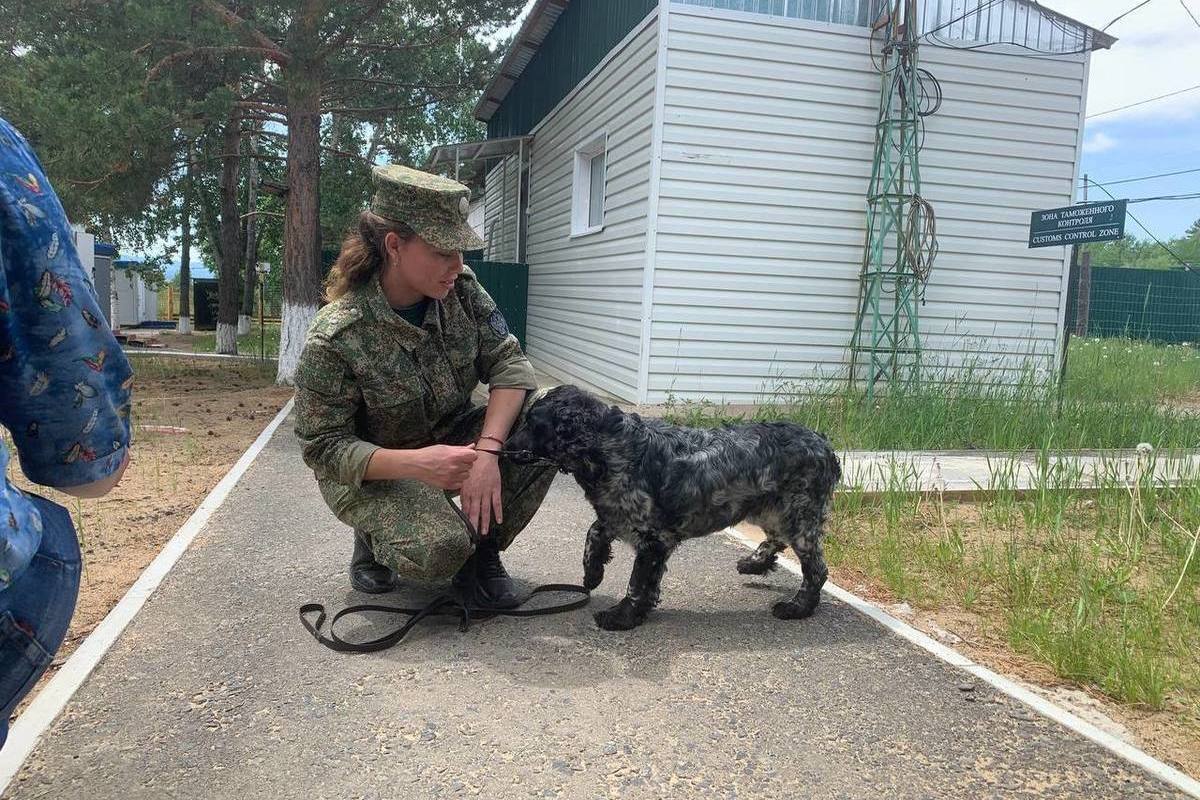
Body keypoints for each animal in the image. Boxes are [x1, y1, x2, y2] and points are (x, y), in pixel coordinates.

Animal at [506, 388, 844, 633]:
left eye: (534, 424)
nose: (505, 446)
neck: (615, 447)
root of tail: (824, 443)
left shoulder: (654, 539)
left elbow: (637, 583)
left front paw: (622, 617)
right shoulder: (619, 517)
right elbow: (595, 533)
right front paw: (593, 573)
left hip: (797, 515)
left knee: (816, 569)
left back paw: (797, 608)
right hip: (772, 509)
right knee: (778, 540)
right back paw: (754, 563)